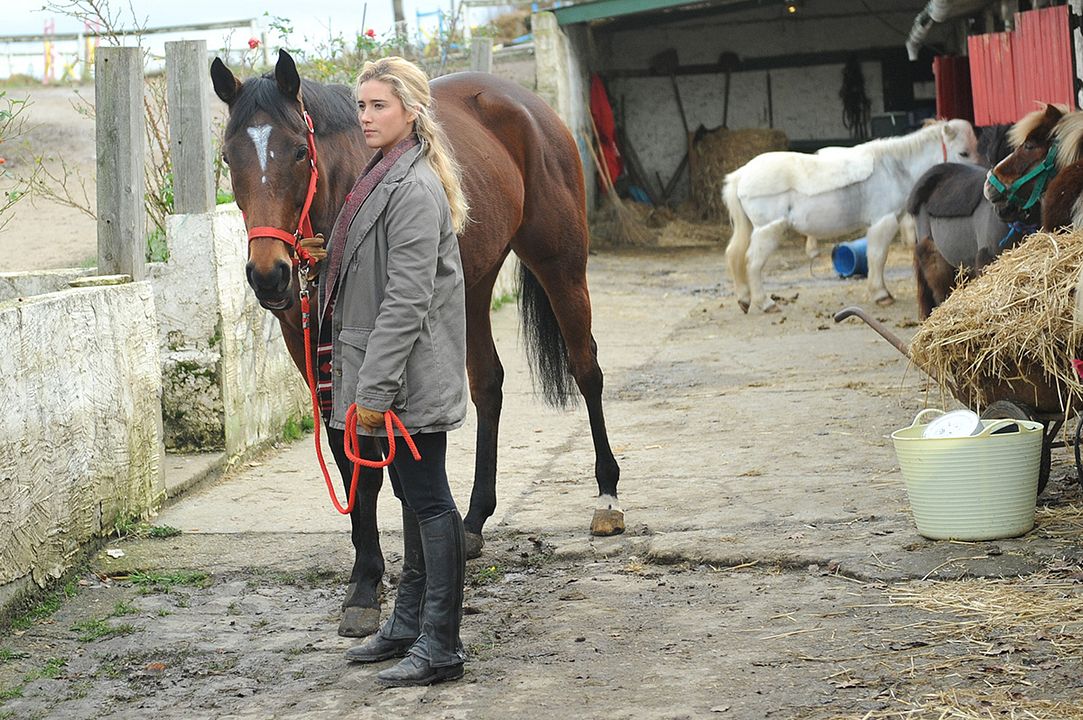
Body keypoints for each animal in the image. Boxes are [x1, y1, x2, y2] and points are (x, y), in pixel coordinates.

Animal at [209, 49, 628, 636]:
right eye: (229, 157)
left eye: (298, 151)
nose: (268, 276)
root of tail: (527, 103)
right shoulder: (307, 342)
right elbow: (347, 455)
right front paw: (364, 581)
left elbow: (372, 454)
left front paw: (375, 583)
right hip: (472, 283)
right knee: (488, 385)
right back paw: (473, 521)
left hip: (561, 264)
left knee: (586, 369)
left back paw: (607, 497)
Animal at [723, 119, 979, 313]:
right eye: (963, 152)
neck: (894, 169)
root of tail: (742, 175)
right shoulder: (882, 222)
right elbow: (877, 256)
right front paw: (881, 294)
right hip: (769, 230)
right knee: (752, 262)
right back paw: (765, 303)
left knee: (736, 257)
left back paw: (745, 299)